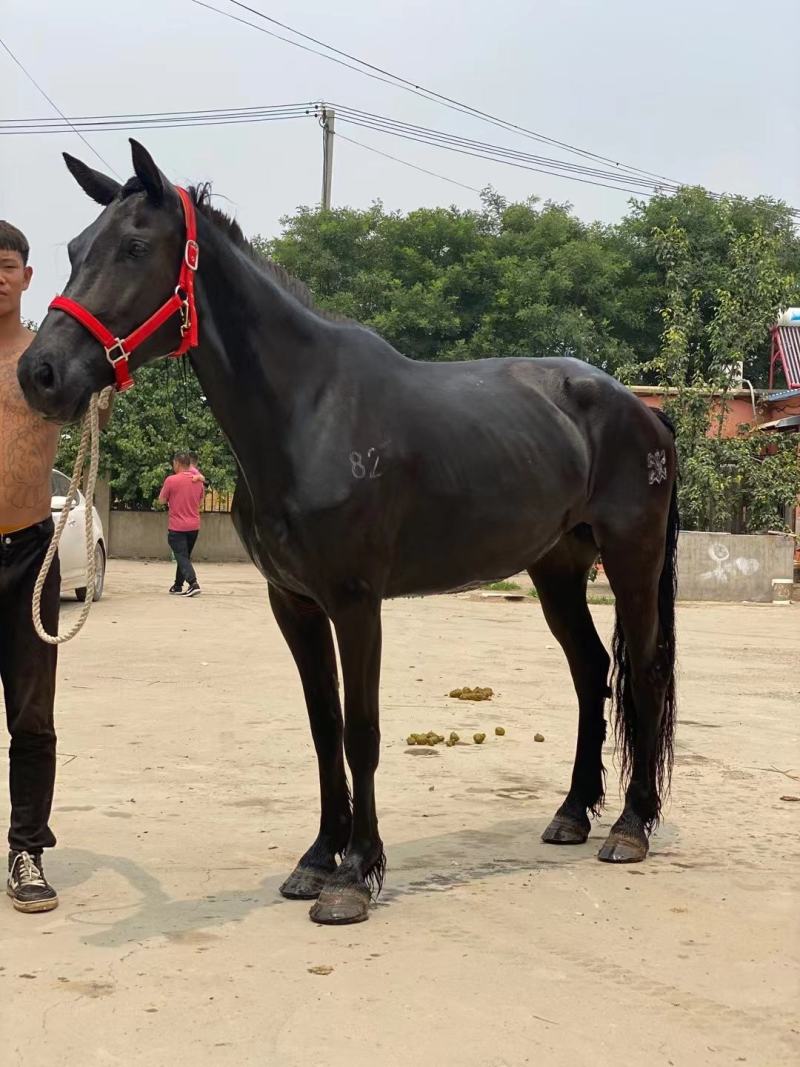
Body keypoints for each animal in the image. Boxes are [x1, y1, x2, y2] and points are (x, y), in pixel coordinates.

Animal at [18, 141, 679, 926]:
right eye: (74, 248)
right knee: (588, 672)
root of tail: (643, 410)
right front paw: (316, 858)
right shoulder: (294, 604)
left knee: (642, 671)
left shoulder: (357, 602)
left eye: (135, 248)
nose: (39, 372)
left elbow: (361, 730)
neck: (309, 411)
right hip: (556, 568)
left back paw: (631, 825)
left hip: (631, 555)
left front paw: (355, 875)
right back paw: (573, 813)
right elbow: (323, 727)